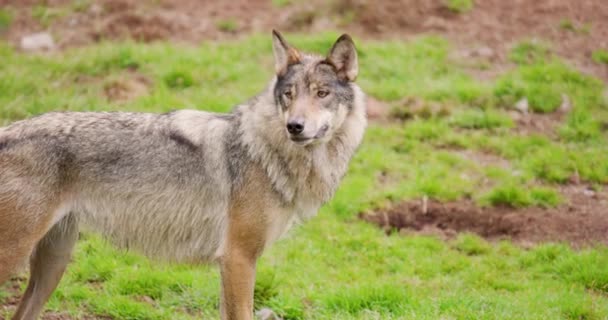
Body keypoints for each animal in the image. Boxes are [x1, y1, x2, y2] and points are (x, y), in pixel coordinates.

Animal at [0, 30, 366, 320]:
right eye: (289, 95)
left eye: (322, 93)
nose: (295, 126)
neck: (263, 150)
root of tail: (8, 132)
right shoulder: (238, 258)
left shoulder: (232, 264)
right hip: (19, 257)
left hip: (53, 264)